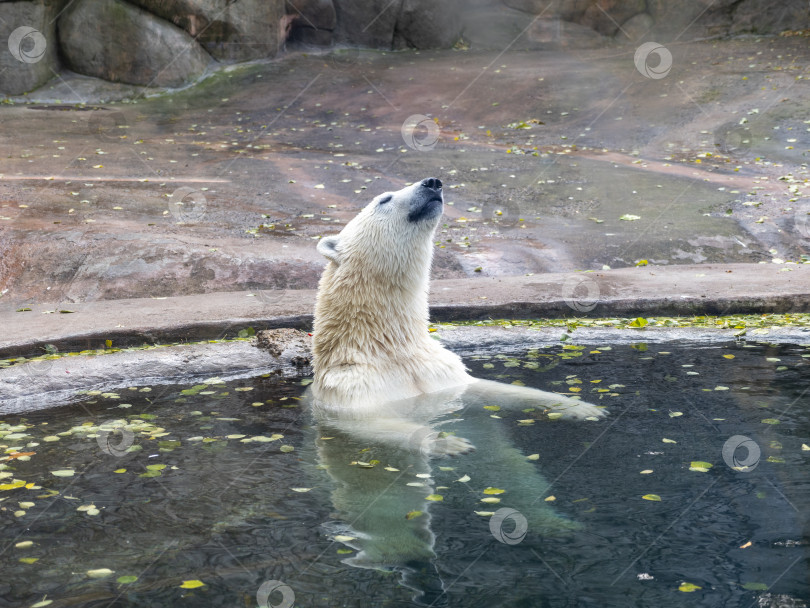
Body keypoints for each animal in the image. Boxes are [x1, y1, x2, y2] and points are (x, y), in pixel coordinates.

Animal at [306, 178, 604, 604]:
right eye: (384, 199)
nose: (432, 182)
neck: (384, 344)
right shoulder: (350, 391)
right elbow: (371, 423)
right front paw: (448, 443)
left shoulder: (440, 374)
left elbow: (489, 391)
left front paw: (579, 407)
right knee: (390, 510)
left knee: (515, 479)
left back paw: (554, 525)